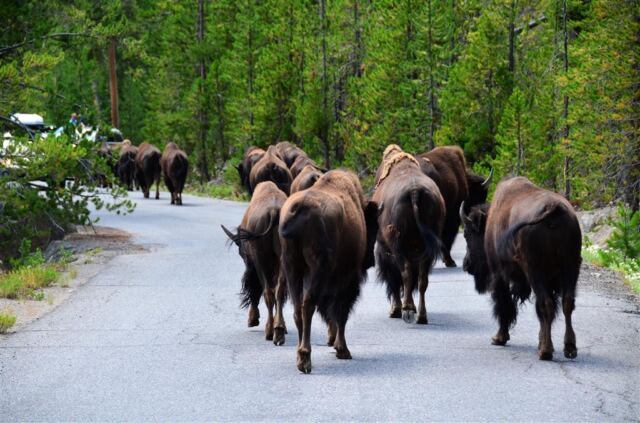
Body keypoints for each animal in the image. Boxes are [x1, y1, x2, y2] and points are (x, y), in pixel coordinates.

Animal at [222, 181, 289, 345]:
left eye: (241, 251)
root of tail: (274, 211)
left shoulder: (252, 263)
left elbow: (254, 288)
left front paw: (252, 319)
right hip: (282, 261)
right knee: (278, 291)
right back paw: (279, 331)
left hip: (260, 261)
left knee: (267, 292)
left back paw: (270, 332)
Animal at [279, 170, 378, 373]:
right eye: (374, 225)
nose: (370, 261)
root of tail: (299, 209)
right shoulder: (347, 280)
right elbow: (341, 313)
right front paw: (342, 350)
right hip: (318, 269)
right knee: (309, 305)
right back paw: (305, 359)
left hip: (292, 268)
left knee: (298, 308)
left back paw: (299, 356)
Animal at [373, 145, 445, 324]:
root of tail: (414, 191)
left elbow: (396, 278)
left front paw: (395, 310)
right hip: (426, 248)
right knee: (422, 279)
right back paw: (421, 316)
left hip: (397, 246)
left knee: (405, 273)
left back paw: (407, 309)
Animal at [461, 176, 581, 360]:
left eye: (467, 234)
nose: (466, 264)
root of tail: (554, 209)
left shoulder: (499, 274)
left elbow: (504, 304)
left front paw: (499, 338)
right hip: (571, 268)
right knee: (566, 303)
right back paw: (569, 348)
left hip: (536, 271)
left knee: (545, 304)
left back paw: (545, 351)